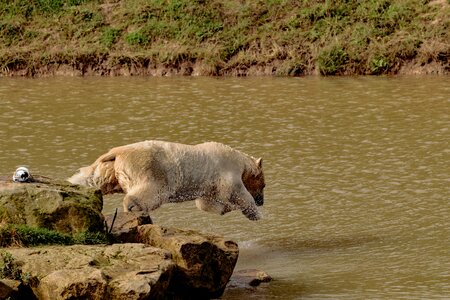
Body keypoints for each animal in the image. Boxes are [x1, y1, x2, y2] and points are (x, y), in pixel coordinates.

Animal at [68, 141, 266, 220]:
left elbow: (207, 203)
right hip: (151, 170)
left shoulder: (208, 185)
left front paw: (225, 209)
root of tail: (118, 151)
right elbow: (237, 193)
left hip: (110, 169)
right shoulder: (227, 172)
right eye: (263, 185)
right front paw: (254, 214)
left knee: (94, 179)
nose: (262, 202)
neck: (240, 161)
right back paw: (133, 207)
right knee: (150, 193)